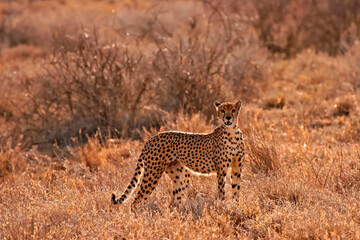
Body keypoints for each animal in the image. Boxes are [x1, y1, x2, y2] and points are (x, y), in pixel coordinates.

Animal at [112, 100, 245, 207]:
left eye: (233, 110)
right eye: (222, 110)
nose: (228, 118)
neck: (232, 132)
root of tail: (152, 138)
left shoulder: (237, 168)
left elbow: (236, 189)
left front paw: (236, 206)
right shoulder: (221, 170)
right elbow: (222, 191)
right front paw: (223, 206)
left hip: (180, 175)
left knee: (174, 201)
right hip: (153, 172)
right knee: (137, 200)